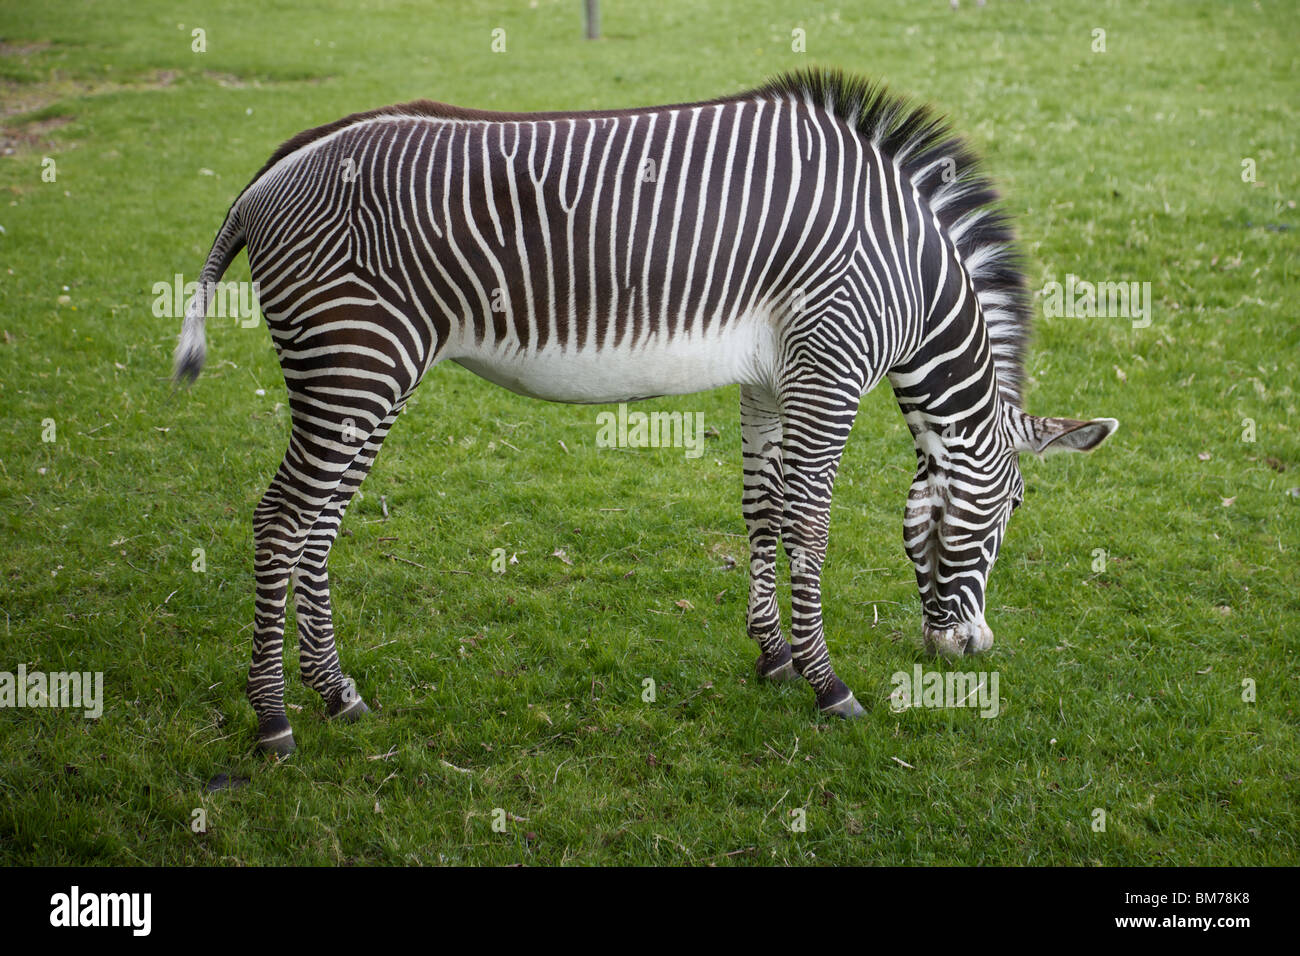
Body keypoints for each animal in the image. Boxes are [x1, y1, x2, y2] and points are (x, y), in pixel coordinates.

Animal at [174, 69, 1117, 755]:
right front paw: (827, 683)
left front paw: (774, 656)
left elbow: (763, 508)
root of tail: (274, 170)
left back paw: (337, 694)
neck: (911, 275)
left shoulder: (770, 376)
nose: (971, 652)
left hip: (358, 378)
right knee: (281, 519)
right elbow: (810, 521)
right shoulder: (832, 365)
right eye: (1011, 509)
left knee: (317, 523)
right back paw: (273, 718)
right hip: (356, 365)